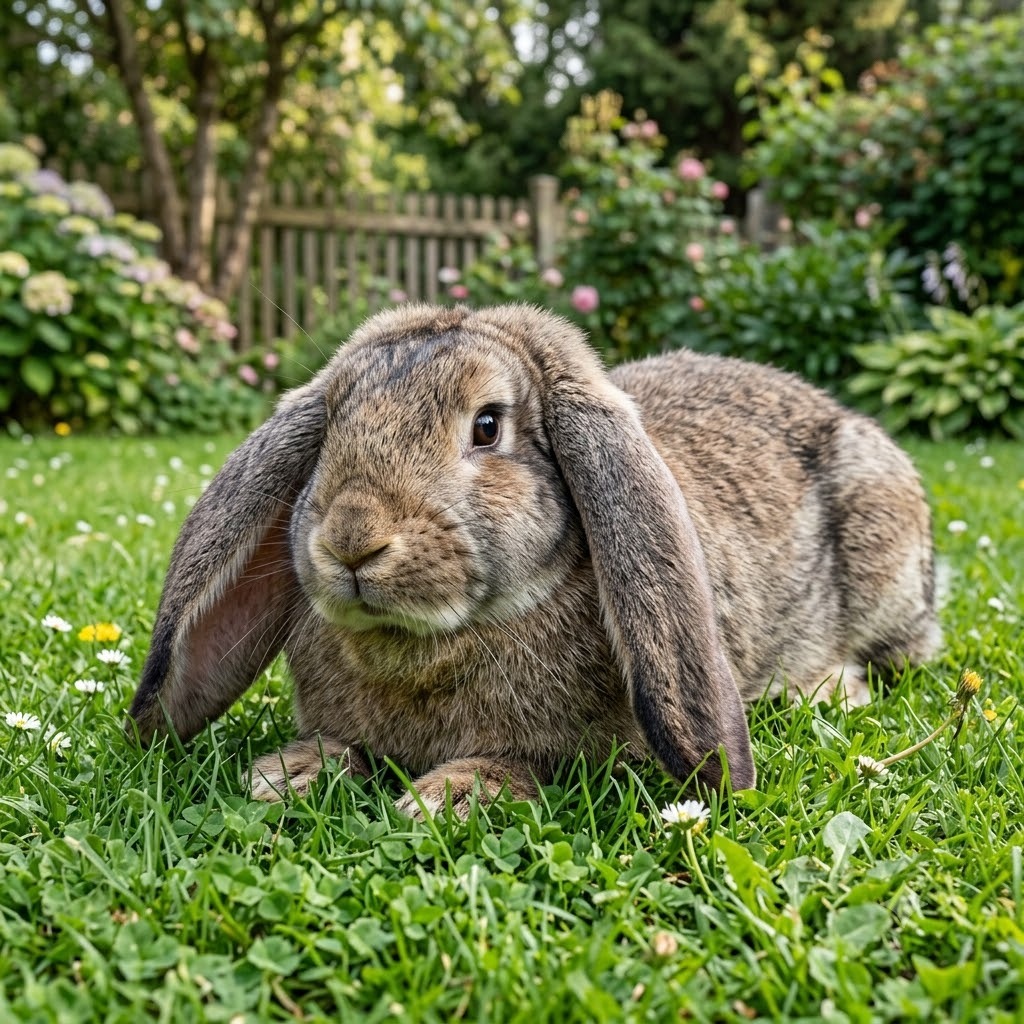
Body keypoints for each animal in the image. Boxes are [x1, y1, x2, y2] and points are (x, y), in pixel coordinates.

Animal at [127, 303, 940, 818]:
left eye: (487, 426)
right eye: (329, 427)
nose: (353, 538)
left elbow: (532, 765)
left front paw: (452, 796)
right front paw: (290, 774)